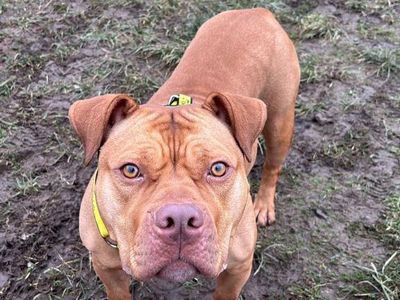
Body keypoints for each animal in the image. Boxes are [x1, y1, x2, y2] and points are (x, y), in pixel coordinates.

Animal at [69, 7, 298, 300]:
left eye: (218, 168)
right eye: (131, 170)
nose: (179, 220)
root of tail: (257, 11)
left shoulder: (238, 268)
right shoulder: (106, 266)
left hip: (280, 121)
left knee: (272, 165)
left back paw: (264, 204)